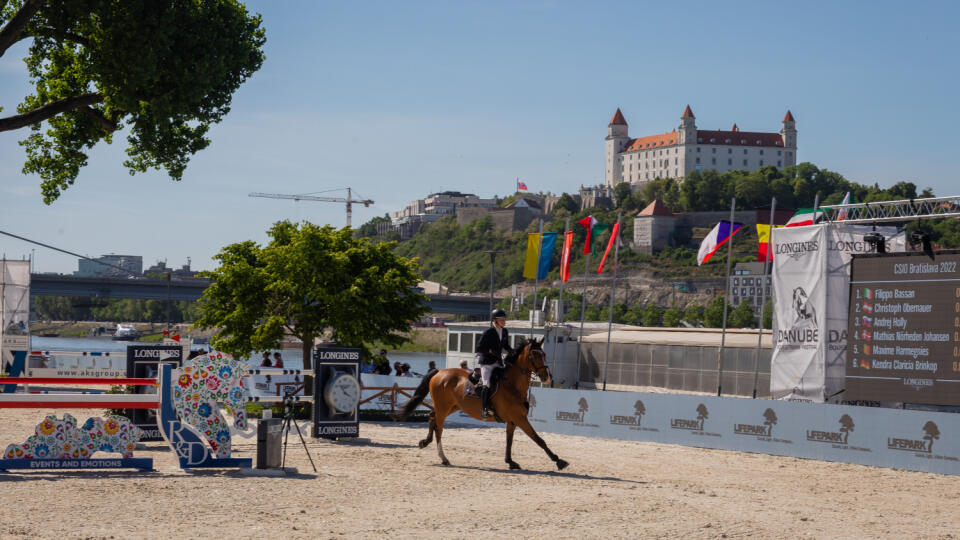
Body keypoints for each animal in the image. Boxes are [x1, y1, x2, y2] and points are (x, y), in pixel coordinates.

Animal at [392, 340, 568, 470]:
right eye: (534, 355)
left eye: (544, 354)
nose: (547, 377)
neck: (512, 384)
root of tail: (439, 371)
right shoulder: (520, 419)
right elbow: (538, 439)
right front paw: (559, 461)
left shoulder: (513, 420)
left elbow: (509, 441)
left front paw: (510, 462)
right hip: (444, 407)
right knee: (439, 428)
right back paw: (444, 458)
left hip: (451, 406)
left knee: (431, 417)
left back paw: (425, 442)